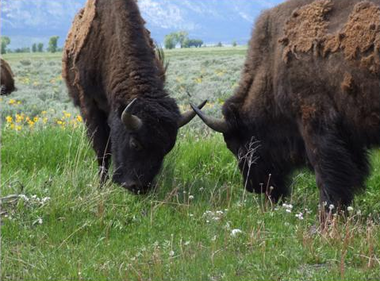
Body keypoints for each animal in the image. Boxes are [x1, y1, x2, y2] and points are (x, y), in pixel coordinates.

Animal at [63, 0, 205, 192]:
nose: (138, 187)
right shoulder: (90, 105)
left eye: (167, 148)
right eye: (135, 143)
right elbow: (102, 148)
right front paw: (101, 184)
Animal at [193, 0, 380, 209]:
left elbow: (326, 173)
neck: (272, 66)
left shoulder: (314, 123)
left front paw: (328, 213)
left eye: (240, 146)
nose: (252, 186)